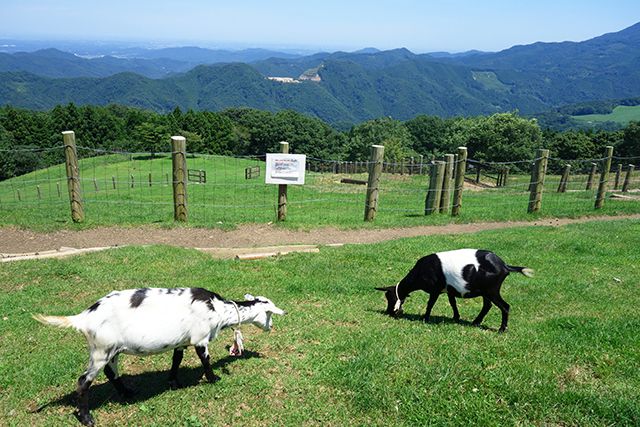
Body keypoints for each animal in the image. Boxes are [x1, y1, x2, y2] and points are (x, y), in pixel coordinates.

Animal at [33, 288, 284, 427]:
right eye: (269, 314)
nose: (271, 328)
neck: (219, 309)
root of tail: (83, 317)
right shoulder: (200, 338)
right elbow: (205, 360)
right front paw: (213, 379)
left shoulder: (182, 341)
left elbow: (176, 360)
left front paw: (173, 382)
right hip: (100, 349)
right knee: (83, 380)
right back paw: (87, 418)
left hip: (110, 350)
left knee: (110, 372)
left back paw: (128, 393)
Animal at [376, 249, 536, 332]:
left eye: (389, 297)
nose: (389, 312)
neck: (420, 271)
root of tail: (504, 266)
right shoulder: (449, 290)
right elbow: (452, 303)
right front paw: (456, 317)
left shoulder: (435, 289)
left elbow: (430, 304)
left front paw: (425, 319)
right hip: (486, 291)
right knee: (487, 305)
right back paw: (475, 322)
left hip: (492, 290)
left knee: (505, 306)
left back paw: (502, 329)